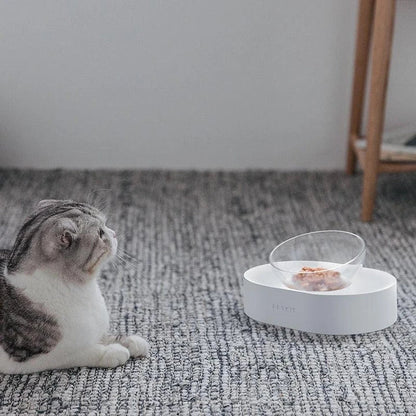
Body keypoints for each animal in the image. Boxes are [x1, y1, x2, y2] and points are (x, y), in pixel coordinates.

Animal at [0, 199, 150, 374]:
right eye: (101, 233)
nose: (114, 233)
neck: (85, 290)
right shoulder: (28, 359)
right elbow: (79, 353)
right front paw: (112, 352)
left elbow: (105, 335)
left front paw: (132, 341)